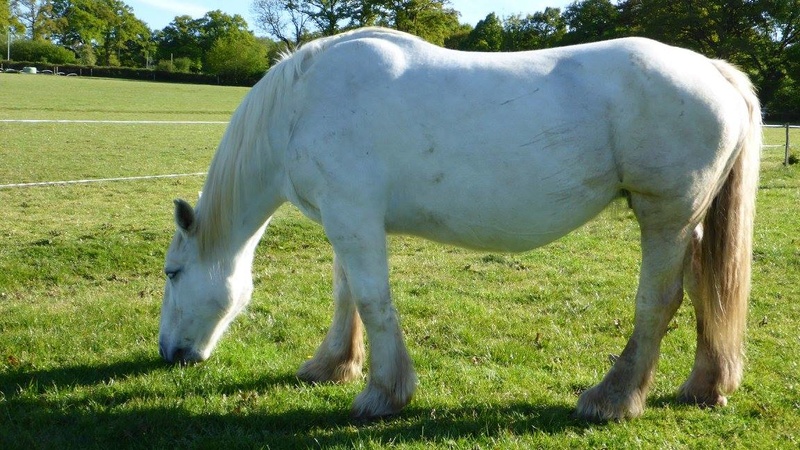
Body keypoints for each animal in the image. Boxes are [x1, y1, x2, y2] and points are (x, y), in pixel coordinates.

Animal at [158, 28, 764, 422]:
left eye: (171, 273)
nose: (169, 354)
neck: (300, 106)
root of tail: (714, 70)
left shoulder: (354, 218)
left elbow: (372, 300)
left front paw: (383, 394)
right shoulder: (345, 219)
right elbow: (346, 295)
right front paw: (332, 365)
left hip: (665, 215)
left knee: (658, 303)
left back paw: (613, 399)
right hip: (688, 223)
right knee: (704, 289)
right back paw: (706, 386)